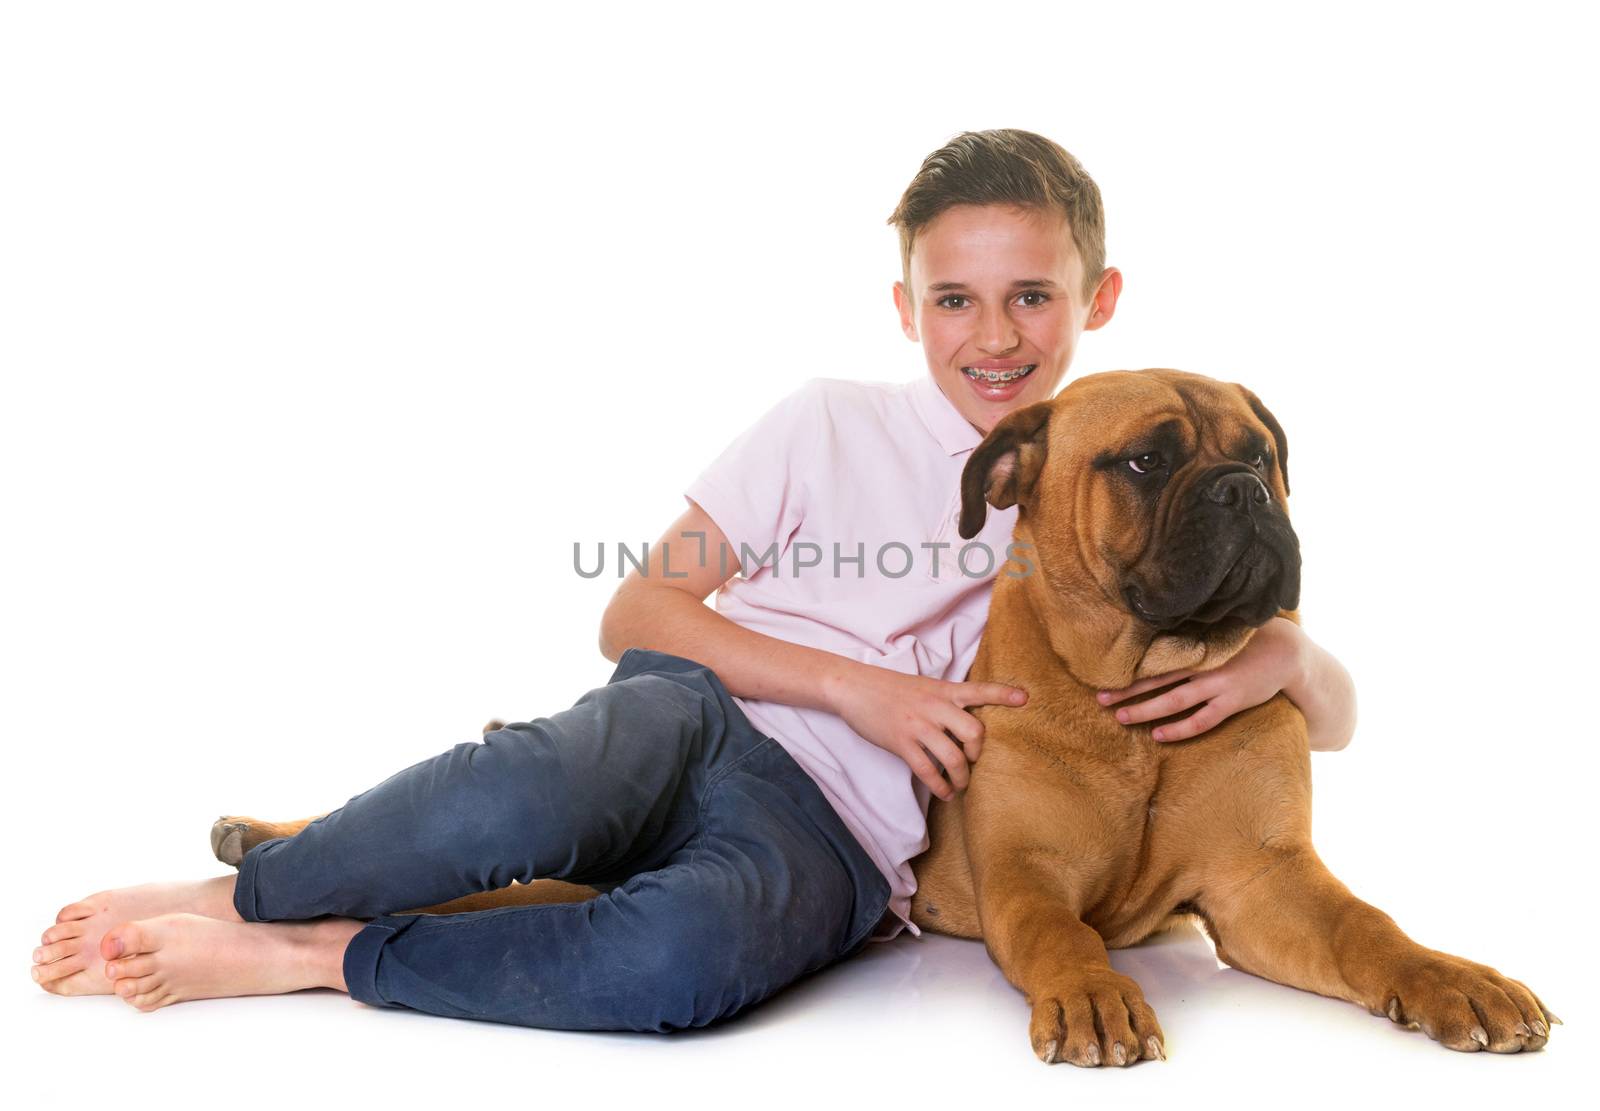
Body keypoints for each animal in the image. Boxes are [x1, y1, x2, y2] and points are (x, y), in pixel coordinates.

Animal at [908, 369, 1555, 1069]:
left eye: (1259, 455)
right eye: (1146, 461)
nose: (1244, 489)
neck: (1143, 708)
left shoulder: (1261, 876)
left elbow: (1365, 924)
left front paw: (1452, 977)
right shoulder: (1025, 872)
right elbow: (1059, 934)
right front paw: (1093, 993)